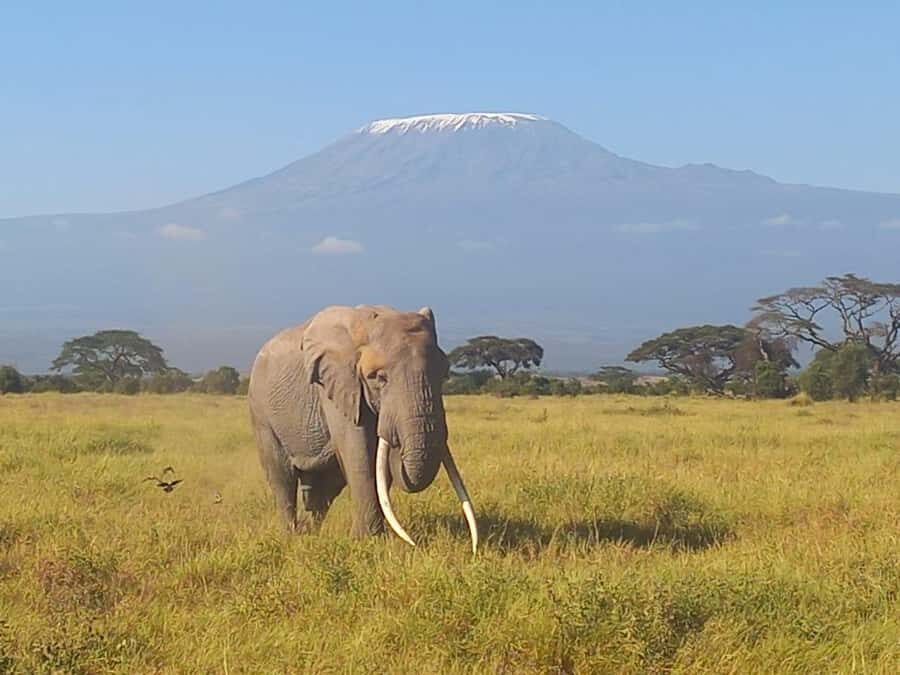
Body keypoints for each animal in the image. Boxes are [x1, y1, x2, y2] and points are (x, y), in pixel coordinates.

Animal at [248, 304, 478, 551]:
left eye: (443, 374)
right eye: (379, 378)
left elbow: (378, 464)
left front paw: (366, 539)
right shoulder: (336, 384)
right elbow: (360, 454)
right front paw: (368, 541)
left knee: (325, 485)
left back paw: (308, 534)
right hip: (261, 414)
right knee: (282, 477)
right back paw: (292, 537)